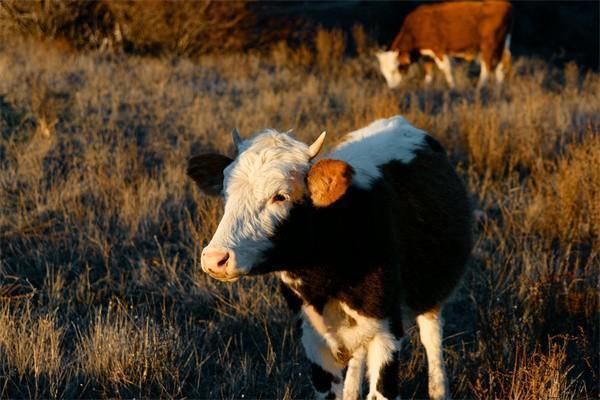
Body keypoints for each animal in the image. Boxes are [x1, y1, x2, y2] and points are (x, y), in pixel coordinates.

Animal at [190, 116, 472, 400]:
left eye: (280, 196)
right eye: (226, 192)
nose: (215, 259)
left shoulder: (388, 332)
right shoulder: (314, 339)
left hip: (432, 291)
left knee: (431, 337)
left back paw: (439, 390)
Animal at [376, 0, 510, 88]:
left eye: (394, 69)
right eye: (384, 73)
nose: (392, 88)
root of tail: (505, 4)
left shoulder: (438, 49)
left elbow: (446, 69)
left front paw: (452, 87)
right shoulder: (427, 54)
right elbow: (429, 71)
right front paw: (427, 86)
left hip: (489, 45)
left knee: (486, 67)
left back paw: (480, 87)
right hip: (503, 44)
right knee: (502, 65)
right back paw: (499, 86)